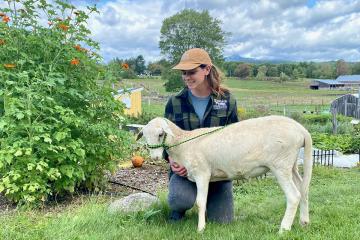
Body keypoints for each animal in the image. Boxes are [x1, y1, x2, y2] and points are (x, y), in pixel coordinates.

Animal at [136, 115, 310, 233]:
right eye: (145, 136)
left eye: (160, 134)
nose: (155, 158)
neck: (183, 142)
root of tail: (301, 130)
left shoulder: (202, 173)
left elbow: (200, 202)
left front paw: (201, 229)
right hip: (291, 165)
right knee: (303, 190)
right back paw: (304, 222)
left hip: (280, 164)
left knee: (294, 196)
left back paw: (283, 229)